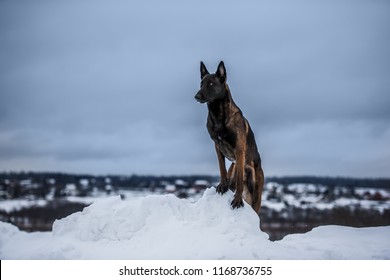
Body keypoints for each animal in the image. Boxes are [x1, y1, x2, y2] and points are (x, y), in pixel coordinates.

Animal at [195, 61, 266, 214]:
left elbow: (239, 179)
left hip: (256, 196)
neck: (218, 115)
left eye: (211, 84)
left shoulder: (239, 149)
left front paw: (237, 200)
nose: (196, 96)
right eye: (201, 84)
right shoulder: (217, 146)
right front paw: (222, 185)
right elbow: (222, 168)